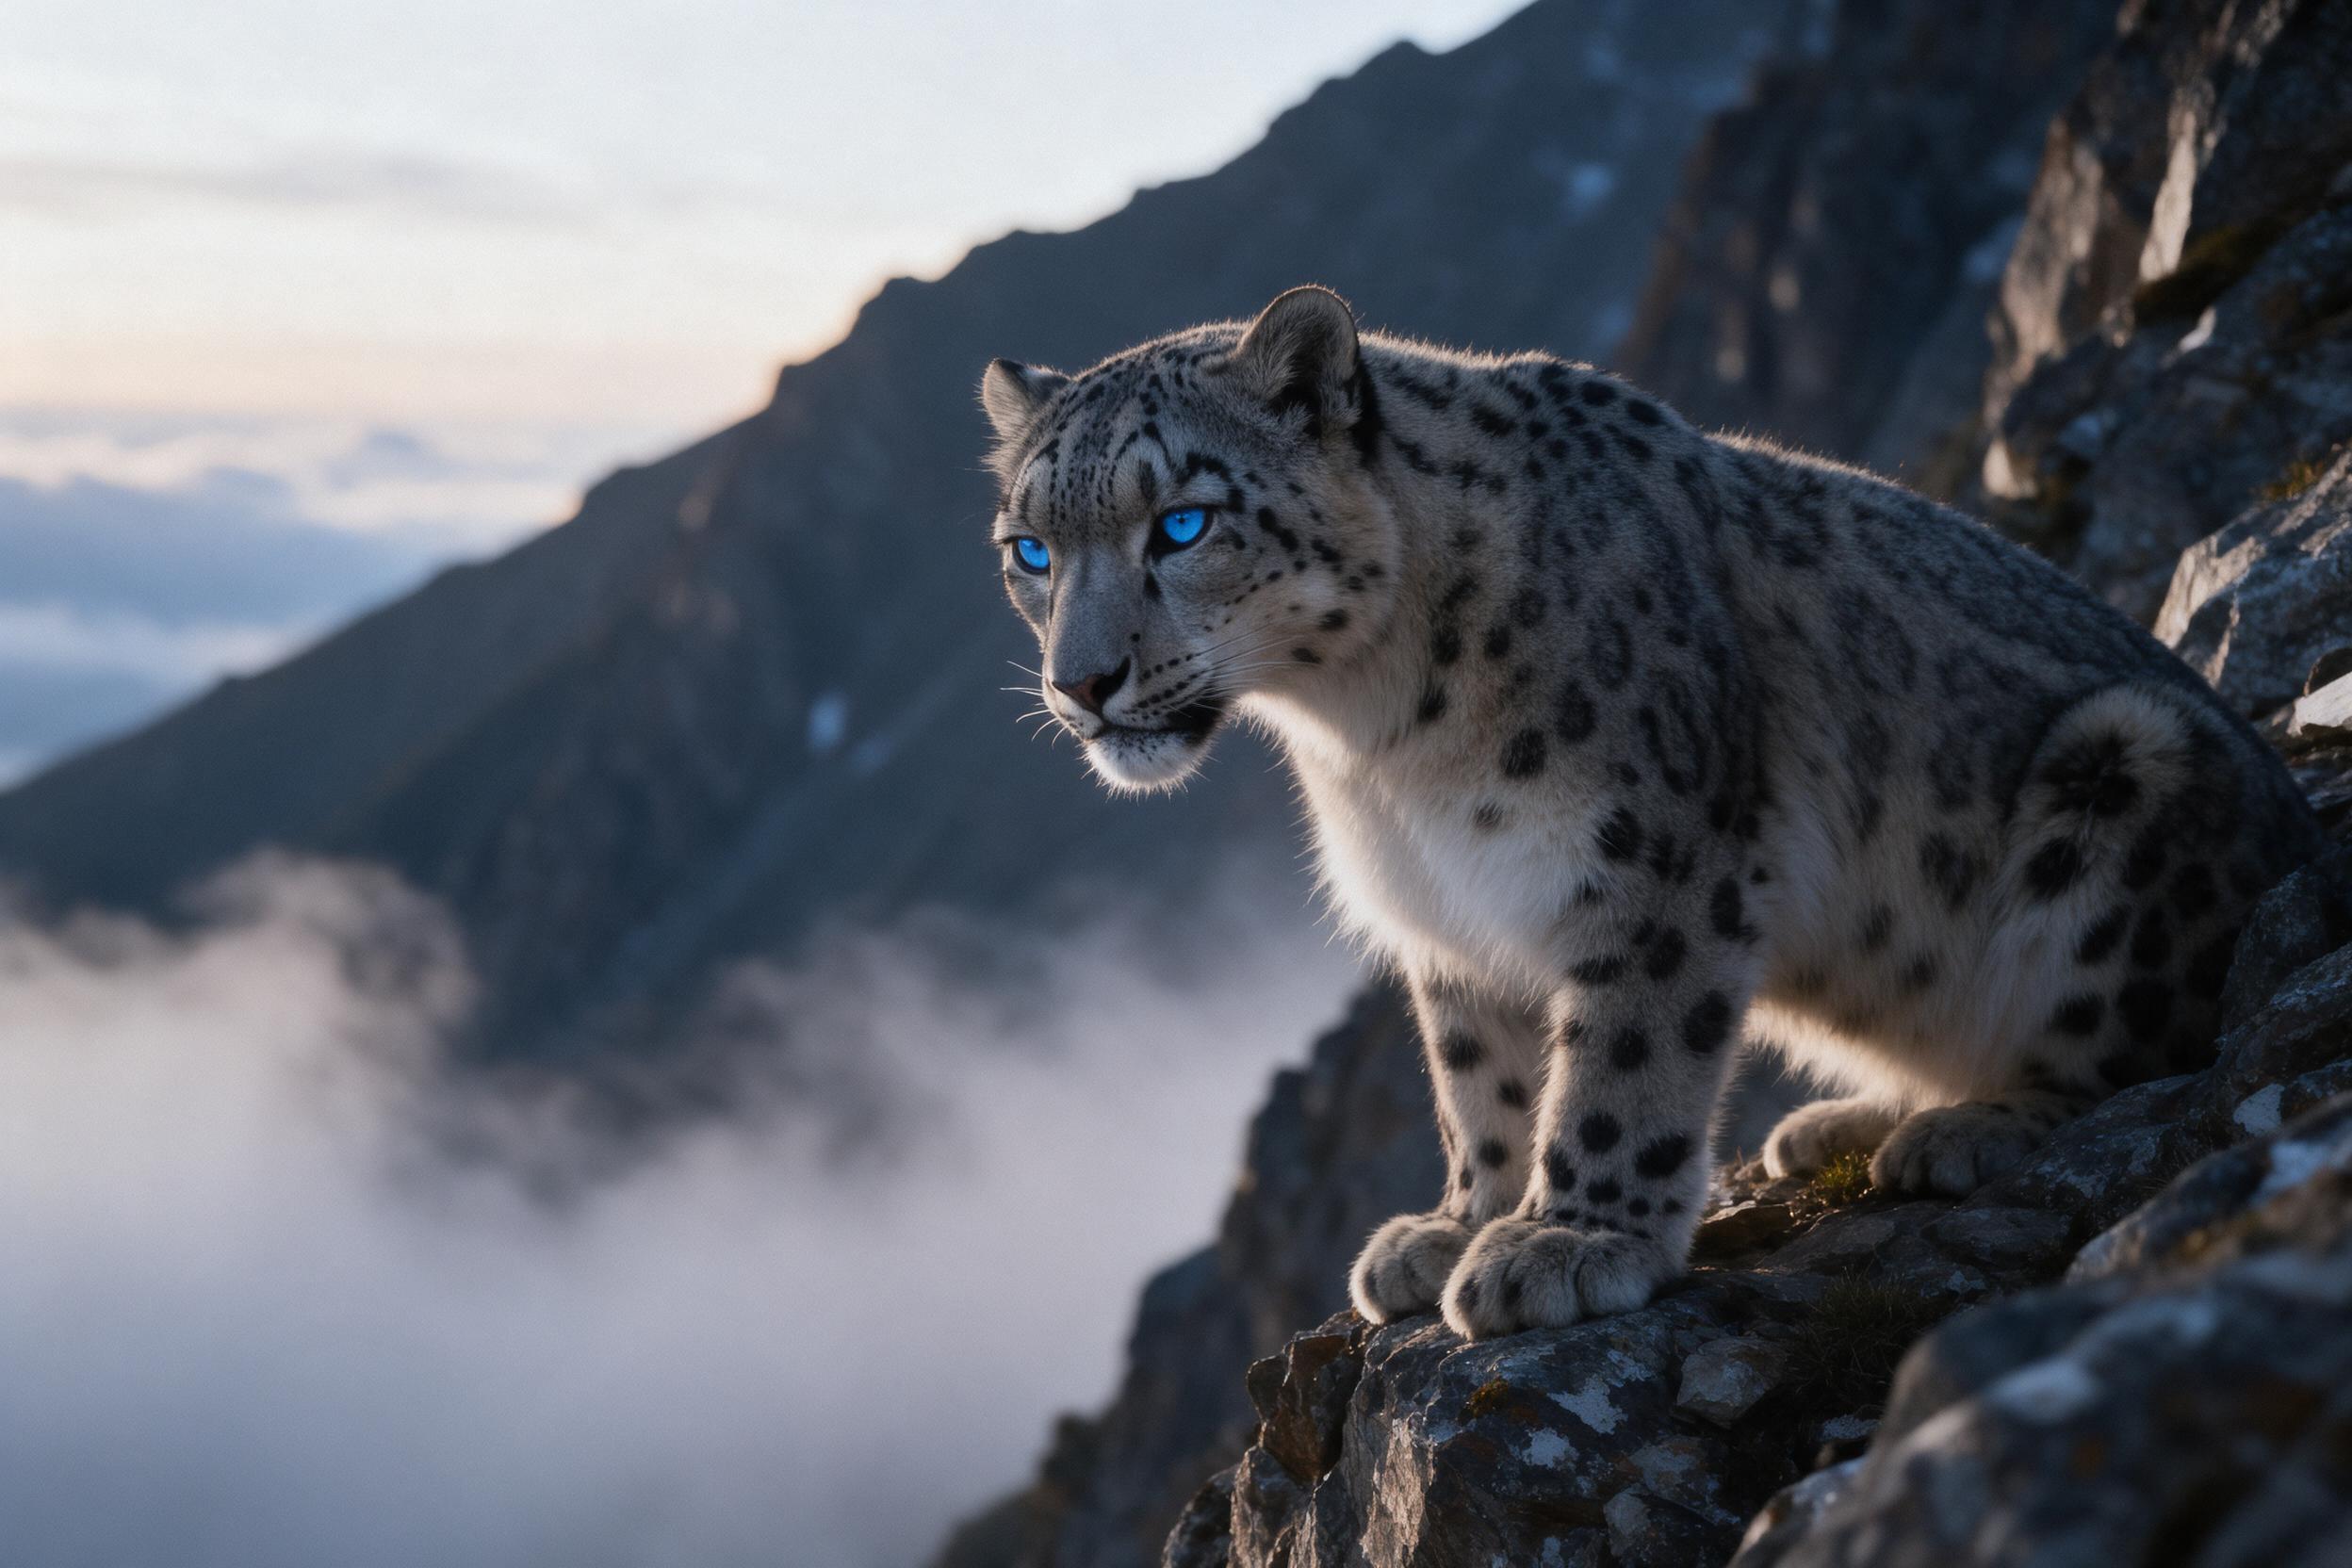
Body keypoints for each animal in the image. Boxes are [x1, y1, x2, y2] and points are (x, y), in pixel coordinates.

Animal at [976, 286, 2323, 1341]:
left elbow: (1622, 1057)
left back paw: (1970, 1122)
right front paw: (1460, 1220)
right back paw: (1839, 1119)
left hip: (2124, 763)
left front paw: (1567, 1242)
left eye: (1182, 521)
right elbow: (1480, 1076)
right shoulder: (1448, 914)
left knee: (2140, 1042)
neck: (1375, 735)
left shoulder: (1649, 864)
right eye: (1029, 549)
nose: (1080, 685)